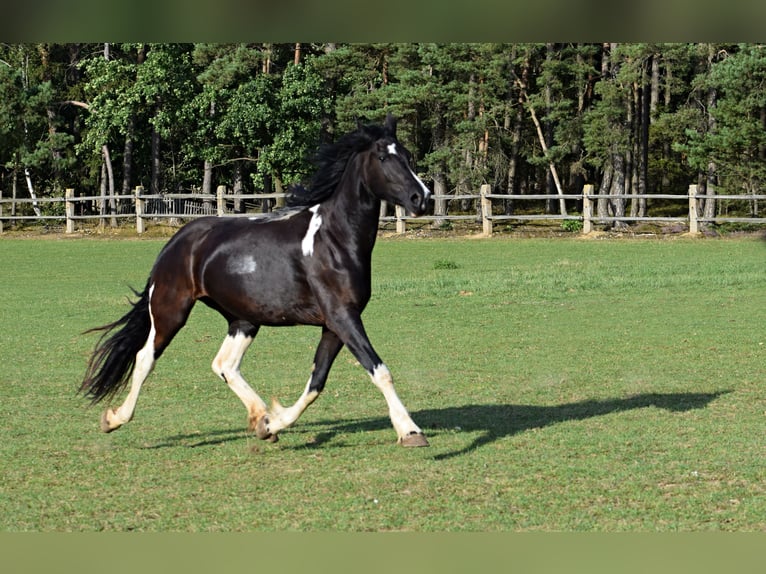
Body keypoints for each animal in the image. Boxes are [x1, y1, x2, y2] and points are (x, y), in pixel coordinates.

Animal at [84, 116, 436, 450]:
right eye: (383, 157)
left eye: (407, 155)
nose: (423, 198)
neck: (334, 239)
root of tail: (177, 241)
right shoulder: (342, 317)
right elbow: (379, 370)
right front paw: (411, 431)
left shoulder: (333, 325)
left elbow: (316, 382)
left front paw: (271, 424)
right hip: (170, 310)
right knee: (146, 358)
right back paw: (113, 418)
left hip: (243, 319)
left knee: (224, 365)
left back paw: (259, 416)